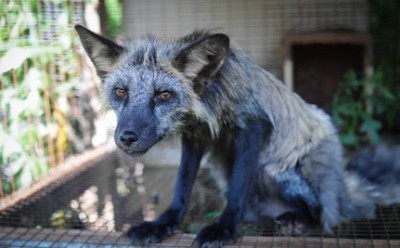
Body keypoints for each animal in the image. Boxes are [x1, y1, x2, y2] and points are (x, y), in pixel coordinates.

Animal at [76, 26, 400, 247]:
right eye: (120, 92)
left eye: (164, 95)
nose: (126, 137)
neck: (213, 98)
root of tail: (343, 189)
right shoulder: (195, 138)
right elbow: (182, 187)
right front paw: (163, 223)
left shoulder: (254, 127)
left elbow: (237, 189)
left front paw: (224, 228)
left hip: (275, 170)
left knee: (318, 211)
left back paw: (295, 221)